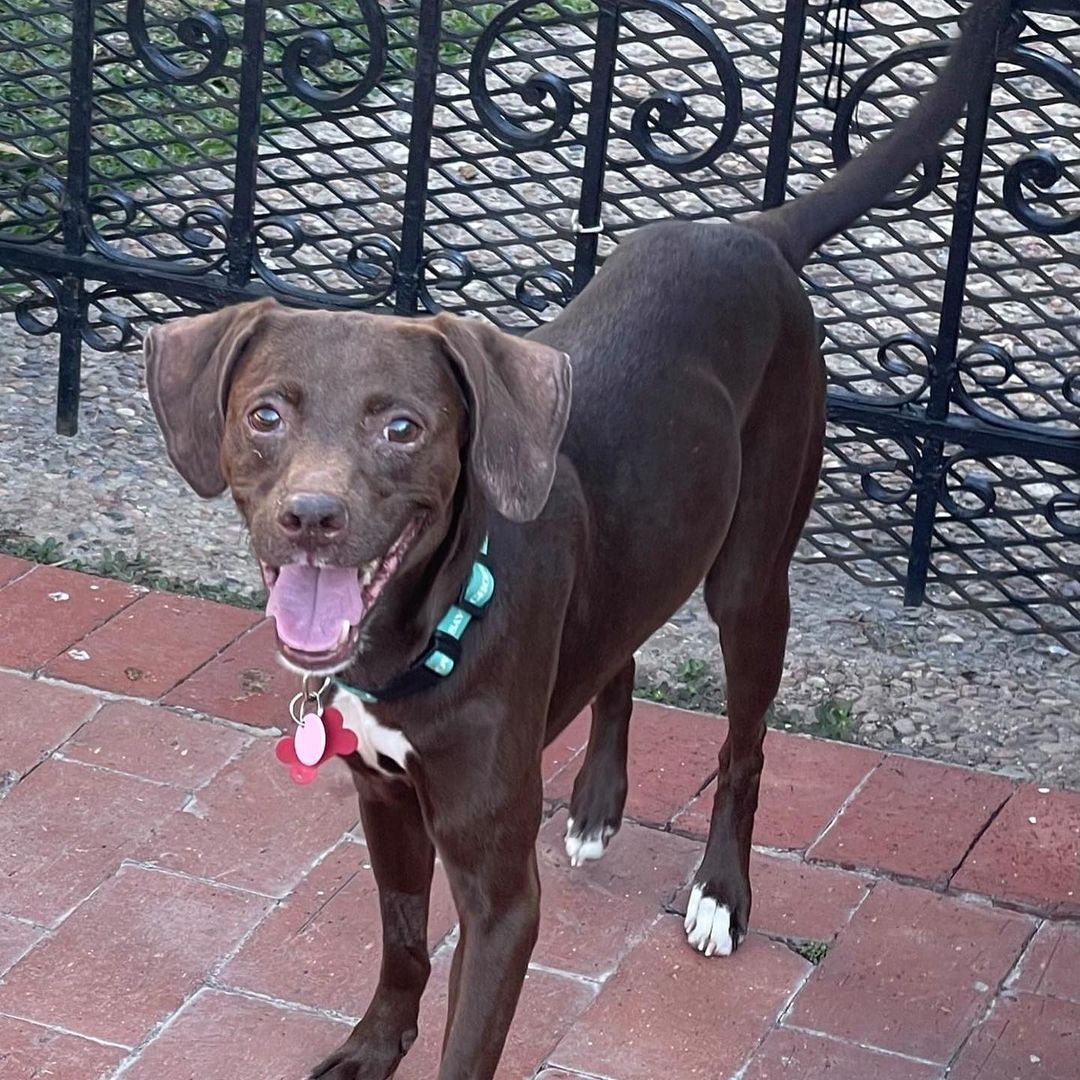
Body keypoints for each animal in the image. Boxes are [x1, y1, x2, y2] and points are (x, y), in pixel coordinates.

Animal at [145, 4, 1010, 1075]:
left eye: (404, 428)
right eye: (266, 414)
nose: (312, 516)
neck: (427, 631)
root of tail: (752, 232)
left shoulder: (500, 896)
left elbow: (468, 1038)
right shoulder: (386, 808)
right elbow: (401, 944)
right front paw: (375, 1043)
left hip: (751, 575)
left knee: (744, 747)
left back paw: (722, 892)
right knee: (619, 650)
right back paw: (599, 800)